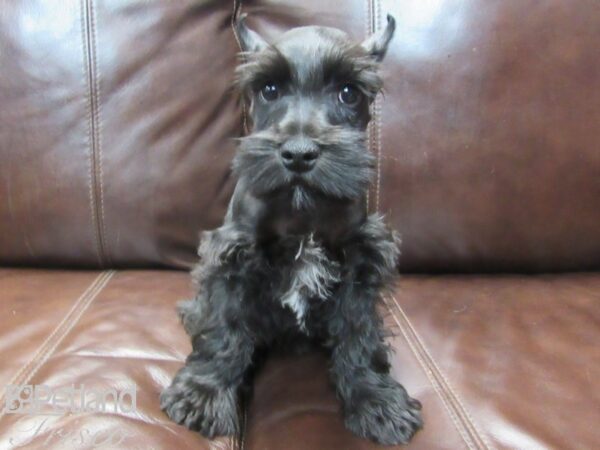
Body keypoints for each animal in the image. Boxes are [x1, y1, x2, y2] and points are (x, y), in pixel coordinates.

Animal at [159, 12, 422, 444]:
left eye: (348, 93)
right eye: (269, 89)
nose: (299, 154)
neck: (302, 214)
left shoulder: (361, 262)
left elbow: (359, 332)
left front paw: (375, 400)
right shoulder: (232, 259)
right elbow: (224, 328)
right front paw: (204, 394)